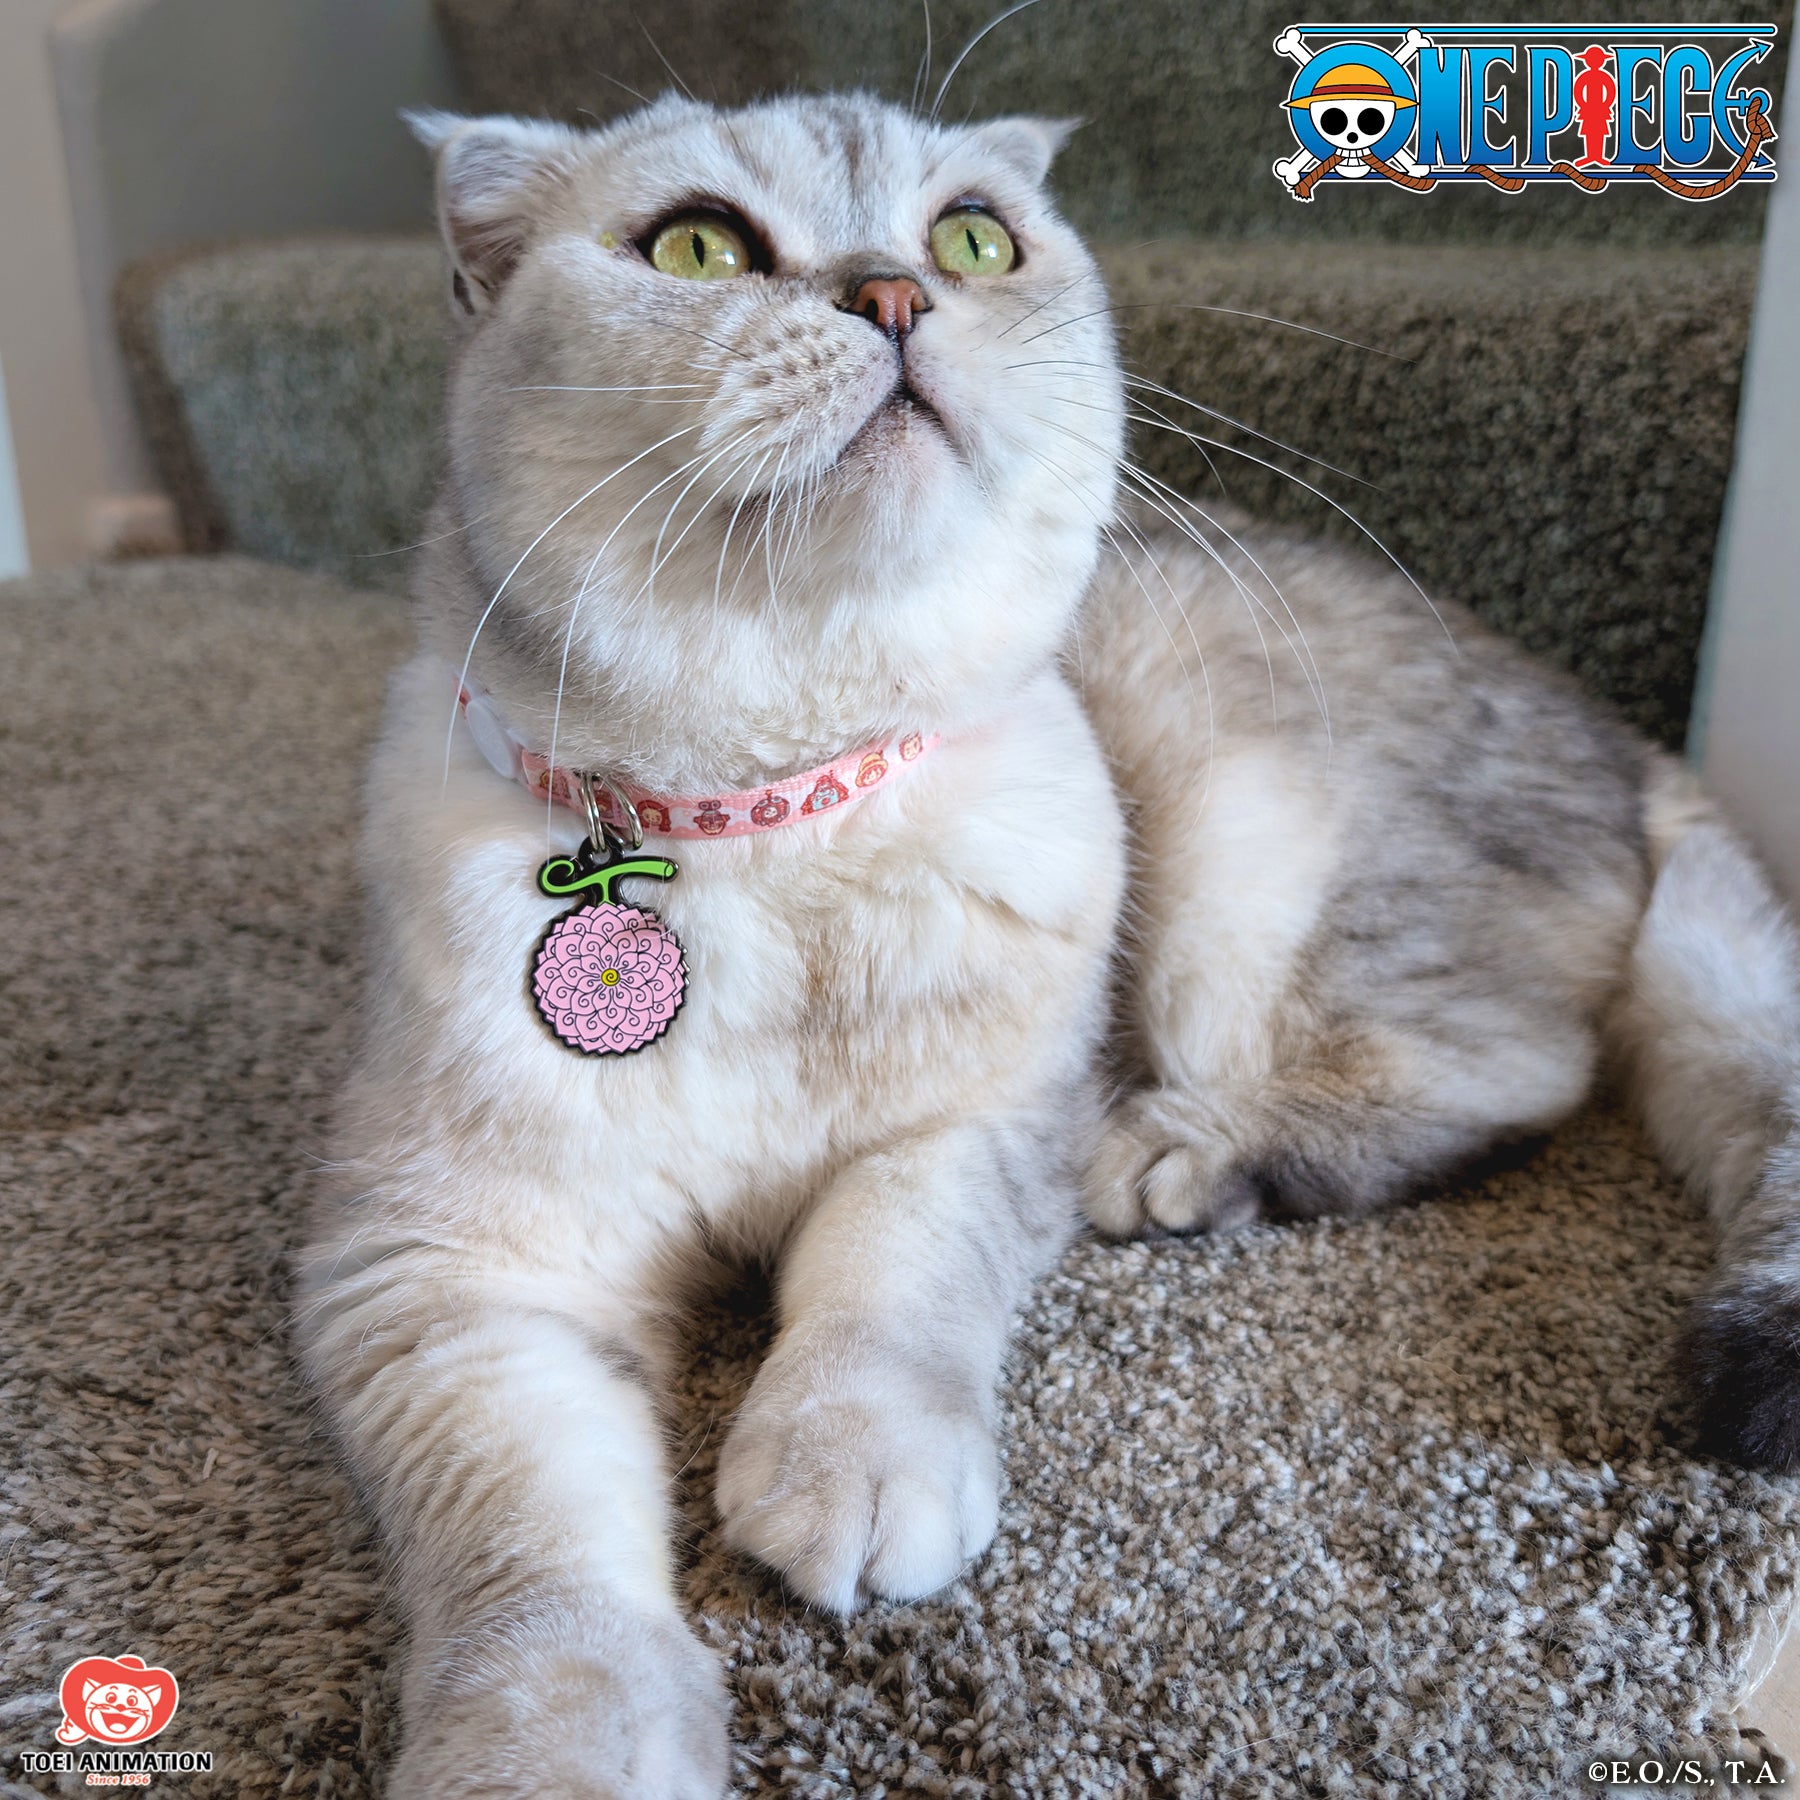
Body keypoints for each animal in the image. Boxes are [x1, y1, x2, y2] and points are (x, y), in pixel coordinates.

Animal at [295, 87, 1800, 1800]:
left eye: (970, 237)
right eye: (696, 248)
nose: (893, 295)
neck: (772, 824)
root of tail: (1623, 735)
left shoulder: (980, 1125)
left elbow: (888, 1289)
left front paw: (853, 1468)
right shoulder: (447, 1282)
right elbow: (535, 1569)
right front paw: (555, 1752)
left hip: (1235, 871)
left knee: (1508, 1072)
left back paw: (1185, 1160)